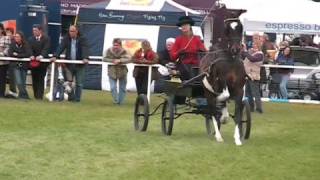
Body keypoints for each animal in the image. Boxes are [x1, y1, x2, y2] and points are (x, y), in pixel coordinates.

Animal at [200, 8, 248, 146]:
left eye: (240, 27)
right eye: (227, 29)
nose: (236, 49)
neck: (230, 59)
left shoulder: (239, 89)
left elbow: (237, 113)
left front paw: (237, 138)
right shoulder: (219, 82)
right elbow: (224, 96)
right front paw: (223, 116)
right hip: (208, 93)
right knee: (212, 111)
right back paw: (218, 135)